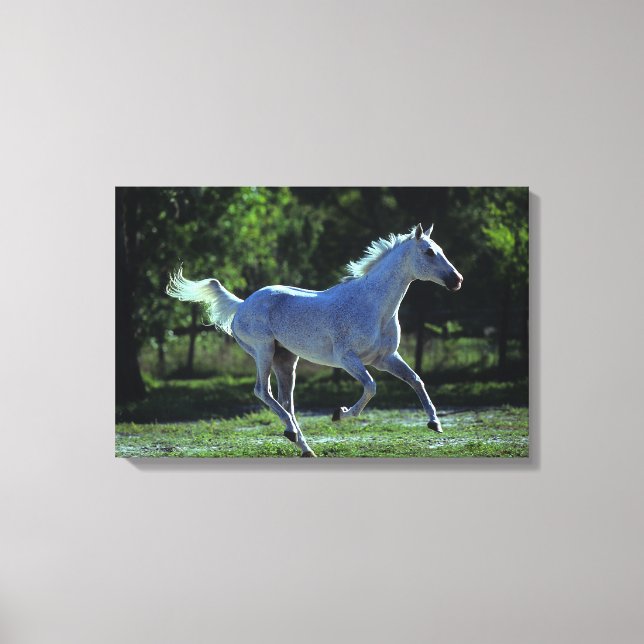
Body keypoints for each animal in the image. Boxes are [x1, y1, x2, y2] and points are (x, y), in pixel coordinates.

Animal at [166, 223, 463, 457]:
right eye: (429, 252)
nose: (457, 280)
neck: (374, 305)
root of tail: (241, 305)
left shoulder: (385, 358)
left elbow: (416, 380)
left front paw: (435, 423)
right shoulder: (348, 359)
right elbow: (371, 387)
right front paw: (339, 414)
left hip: (286, 360)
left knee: (286, 401)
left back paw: (303, 445)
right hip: (263, 351)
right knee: (263, 391)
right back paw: (292, 433)